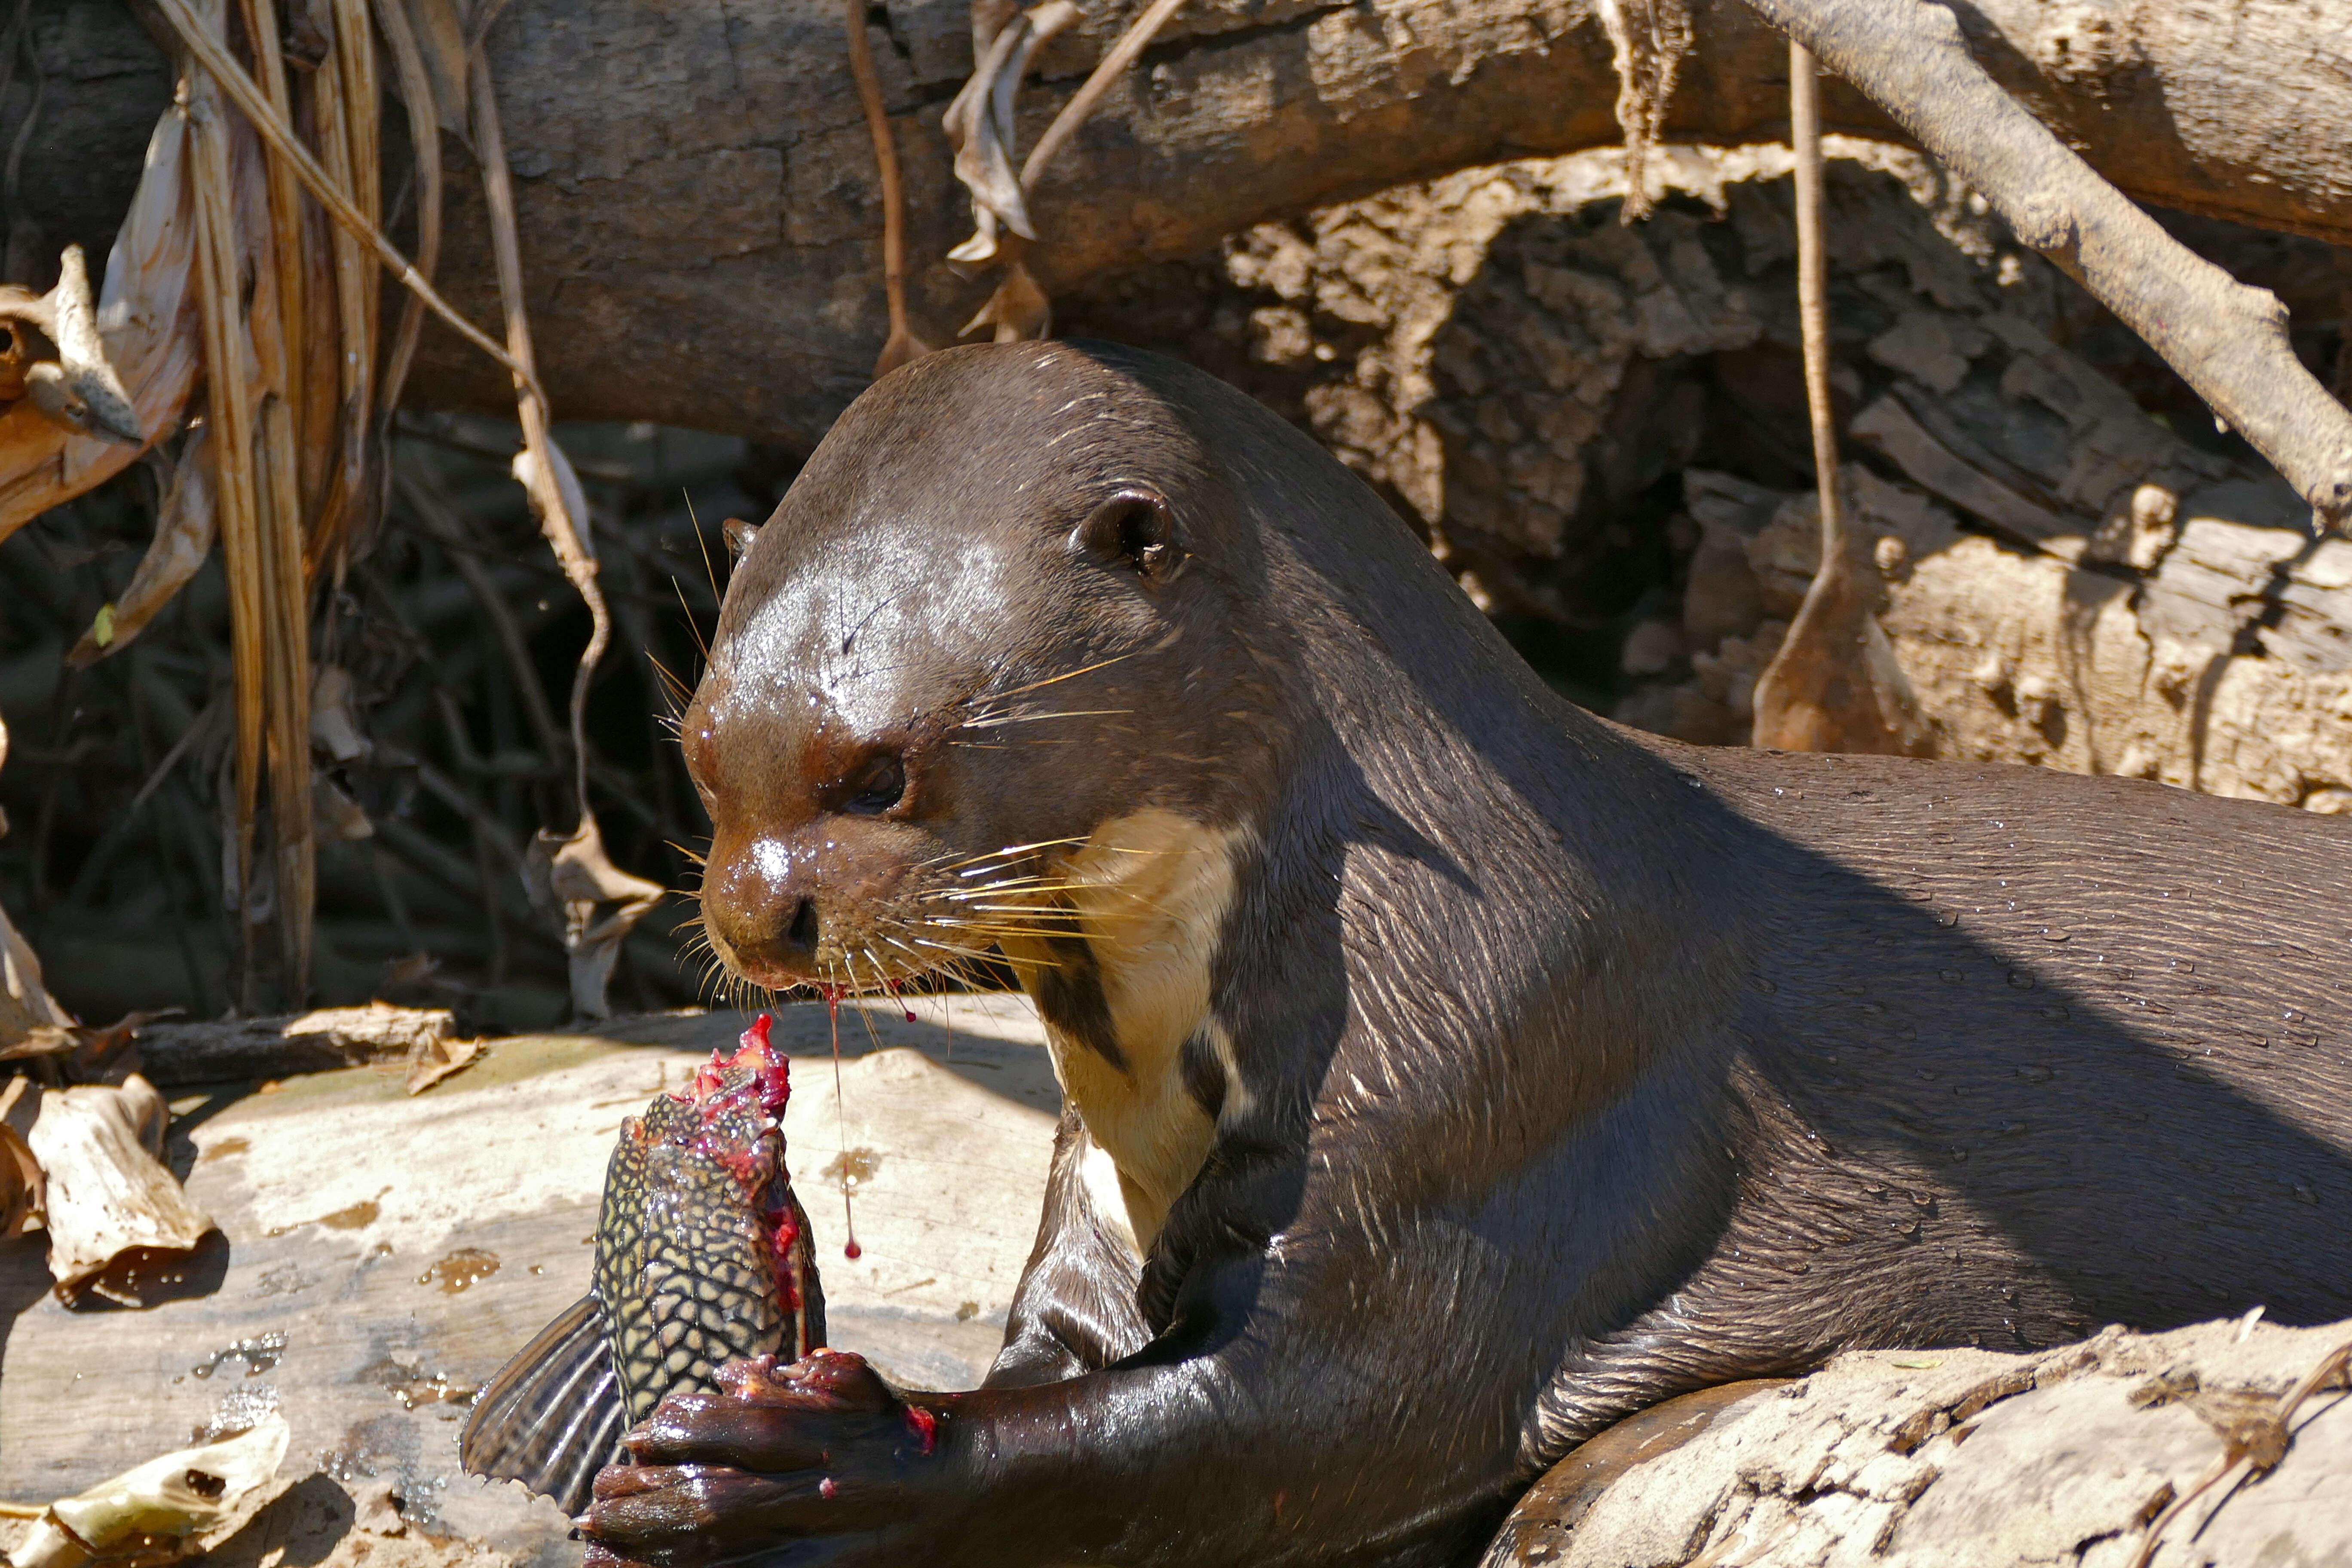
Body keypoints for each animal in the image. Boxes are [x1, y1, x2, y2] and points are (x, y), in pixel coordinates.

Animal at [579, 343, 2352, 1568]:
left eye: (878, 768)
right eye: (703, 756)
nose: (755, 910)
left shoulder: (1489, 1068)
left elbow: (1313, 1413)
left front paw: (813, 1456)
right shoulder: (1114, 1184)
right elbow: (1073, 1355)